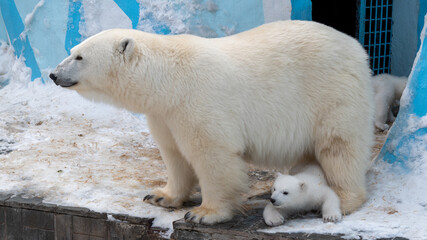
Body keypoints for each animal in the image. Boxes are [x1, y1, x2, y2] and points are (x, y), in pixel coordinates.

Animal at [49, 20, 374, 225]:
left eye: (79, 56)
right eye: (72, 50)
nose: (53, 74)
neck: (169, 80)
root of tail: (358, 48)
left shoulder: (199, 101)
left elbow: (212, 155)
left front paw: (204, 213)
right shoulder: (165, 114)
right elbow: (174, 154)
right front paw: (161, 196)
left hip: (332, 93)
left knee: (340, 146)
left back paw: (343, 198)